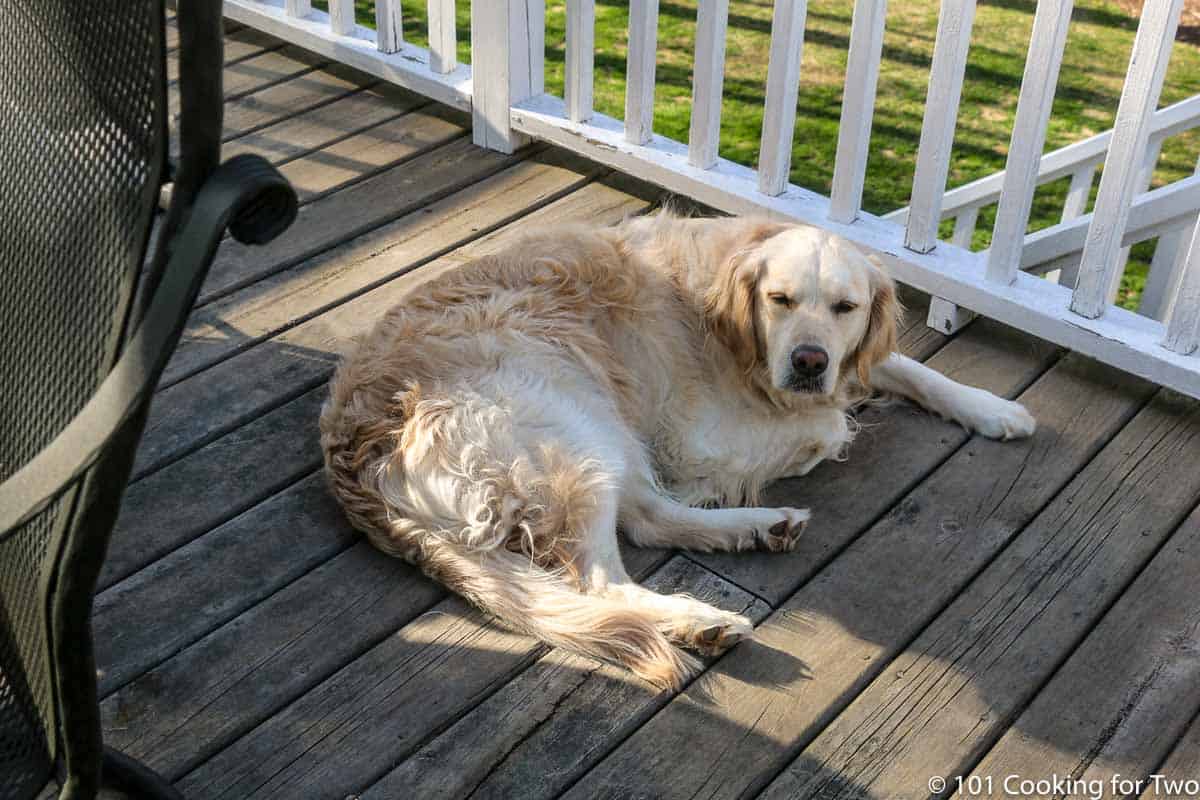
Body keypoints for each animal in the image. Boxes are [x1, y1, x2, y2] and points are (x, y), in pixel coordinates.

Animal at [319, 212, 1032, 690]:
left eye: (845, 306)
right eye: (780, 300)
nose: (809, 361)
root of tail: (352, 453)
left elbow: (910, 367)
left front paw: (992, 408)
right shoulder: (695, 437)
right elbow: (830, 425)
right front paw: (825, 428)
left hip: (601, 428)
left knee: (647, 518)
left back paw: (760, 528)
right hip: (573, 418)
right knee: (607, 573)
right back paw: (697, 617)